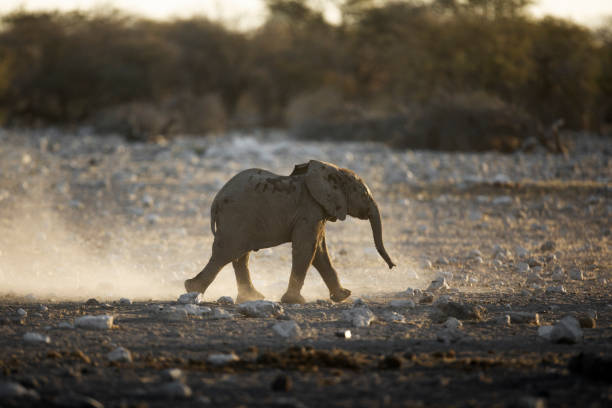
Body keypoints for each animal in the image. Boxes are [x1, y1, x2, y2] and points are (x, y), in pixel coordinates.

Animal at [185, 159, 396, 302]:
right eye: (364, 194)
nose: (392, 266)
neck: (331, 170)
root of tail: (215, 201)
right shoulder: (309, 209)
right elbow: (307, 247)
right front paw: (295, 301)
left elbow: (319, 250)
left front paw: (343, 296)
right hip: (235, 218)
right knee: (225, 253)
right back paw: (192, 290)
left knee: (239, 256)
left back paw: (252, 298)